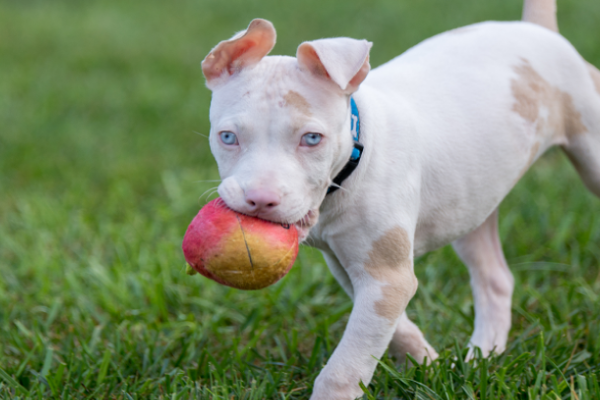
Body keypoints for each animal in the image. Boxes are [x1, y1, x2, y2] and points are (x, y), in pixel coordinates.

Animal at [202, 0, 600, 396]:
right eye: (228, 137)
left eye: (312, 139)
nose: (259, 200)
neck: (354, 158)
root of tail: (538, 30)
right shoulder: (356, 270)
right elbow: (387, 332)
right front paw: (430, 364)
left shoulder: (385, 277)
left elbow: (345, 365)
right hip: (473, 198)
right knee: (495, 278)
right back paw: (482, 357)